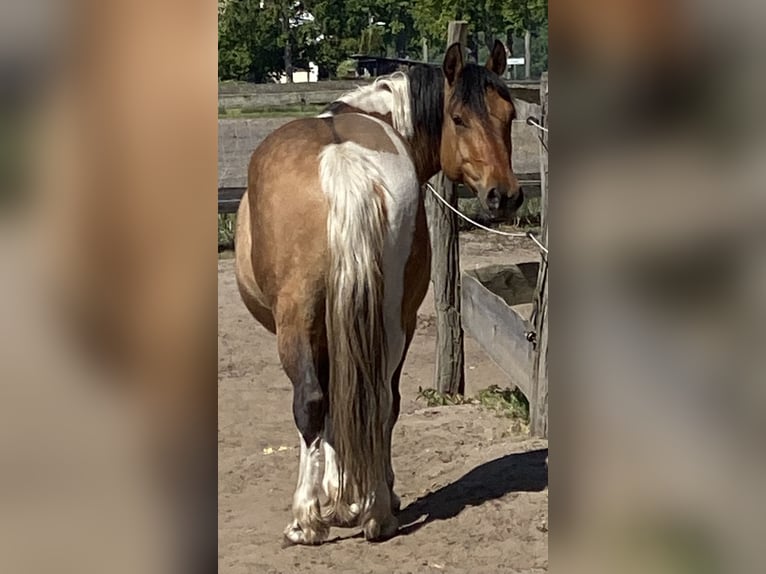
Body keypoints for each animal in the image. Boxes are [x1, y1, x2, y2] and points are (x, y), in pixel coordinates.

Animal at [234, 40, 522, 546]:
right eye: (459, 118)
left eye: (509, 115)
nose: (503, 196)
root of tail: (343, 164)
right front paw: (348, 499)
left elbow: (329, 408)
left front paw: (334, 498)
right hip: (391, 319)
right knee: (381, 399)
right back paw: (377, 512)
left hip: (302, 319)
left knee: (314, 401)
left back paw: (308, 520)